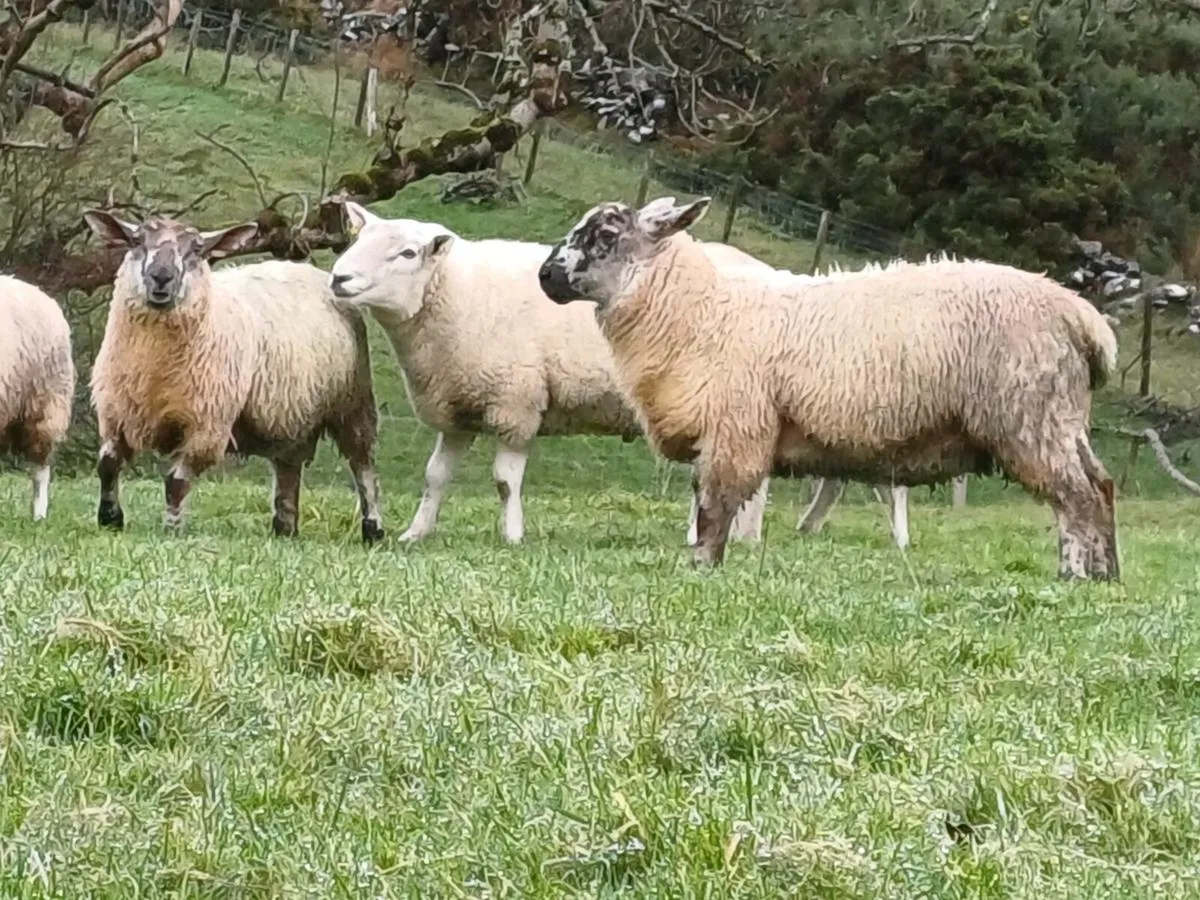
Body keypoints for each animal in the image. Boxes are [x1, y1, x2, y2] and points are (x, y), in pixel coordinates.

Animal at [82, 211, 384, 542]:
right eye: (136, 241)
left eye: (197, 249)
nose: (161, 277)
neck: (154, 370)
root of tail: (307, 269)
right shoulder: (116, 415)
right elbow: (107, 465)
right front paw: (110, 518)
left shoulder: (208, 425)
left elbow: (176, 481)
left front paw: (171, 529)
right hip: (292, 413)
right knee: (289, 467)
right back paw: (285, 527)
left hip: (352, 402)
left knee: (362, 464)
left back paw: (373, 529)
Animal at [326, 202, 766, 545]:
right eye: (357, 240)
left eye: (407, 253)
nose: (338, 278)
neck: (456, 292)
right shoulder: (459, 410)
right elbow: (435, 476)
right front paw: (415, 533)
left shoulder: (516, 405)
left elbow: (504, 481)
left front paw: (513, 537)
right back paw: (745, 538)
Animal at [537, 196, 1120, 580]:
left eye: (604, 237)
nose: (545, 276)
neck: (700, 311)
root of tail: (1081, 316)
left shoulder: (735, 431)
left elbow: (715, 505)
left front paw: (701, 565)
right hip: (1062, 418)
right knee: (1103, 486)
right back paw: (1107, 575)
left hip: (1030, 418)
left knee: (1078, 497)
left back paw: (1075, 577)